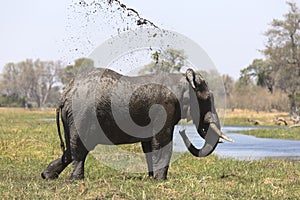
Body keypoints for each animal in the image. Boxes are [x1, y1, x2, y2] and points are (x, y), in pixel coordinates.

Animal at [41, 68, 232, 180]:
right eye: (207, 99)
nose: (183, 131)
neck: (182, 78)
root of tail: (64, 94)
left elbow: (148, 144)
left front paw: (151, 178)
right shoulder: (165, 107)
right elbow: (162, 141)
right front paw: (161, 181)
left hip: (71, 117)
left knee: (71, 148)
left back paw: (47, 176)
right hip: (81, 114)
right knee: (80, 148)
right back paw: (76, 180)